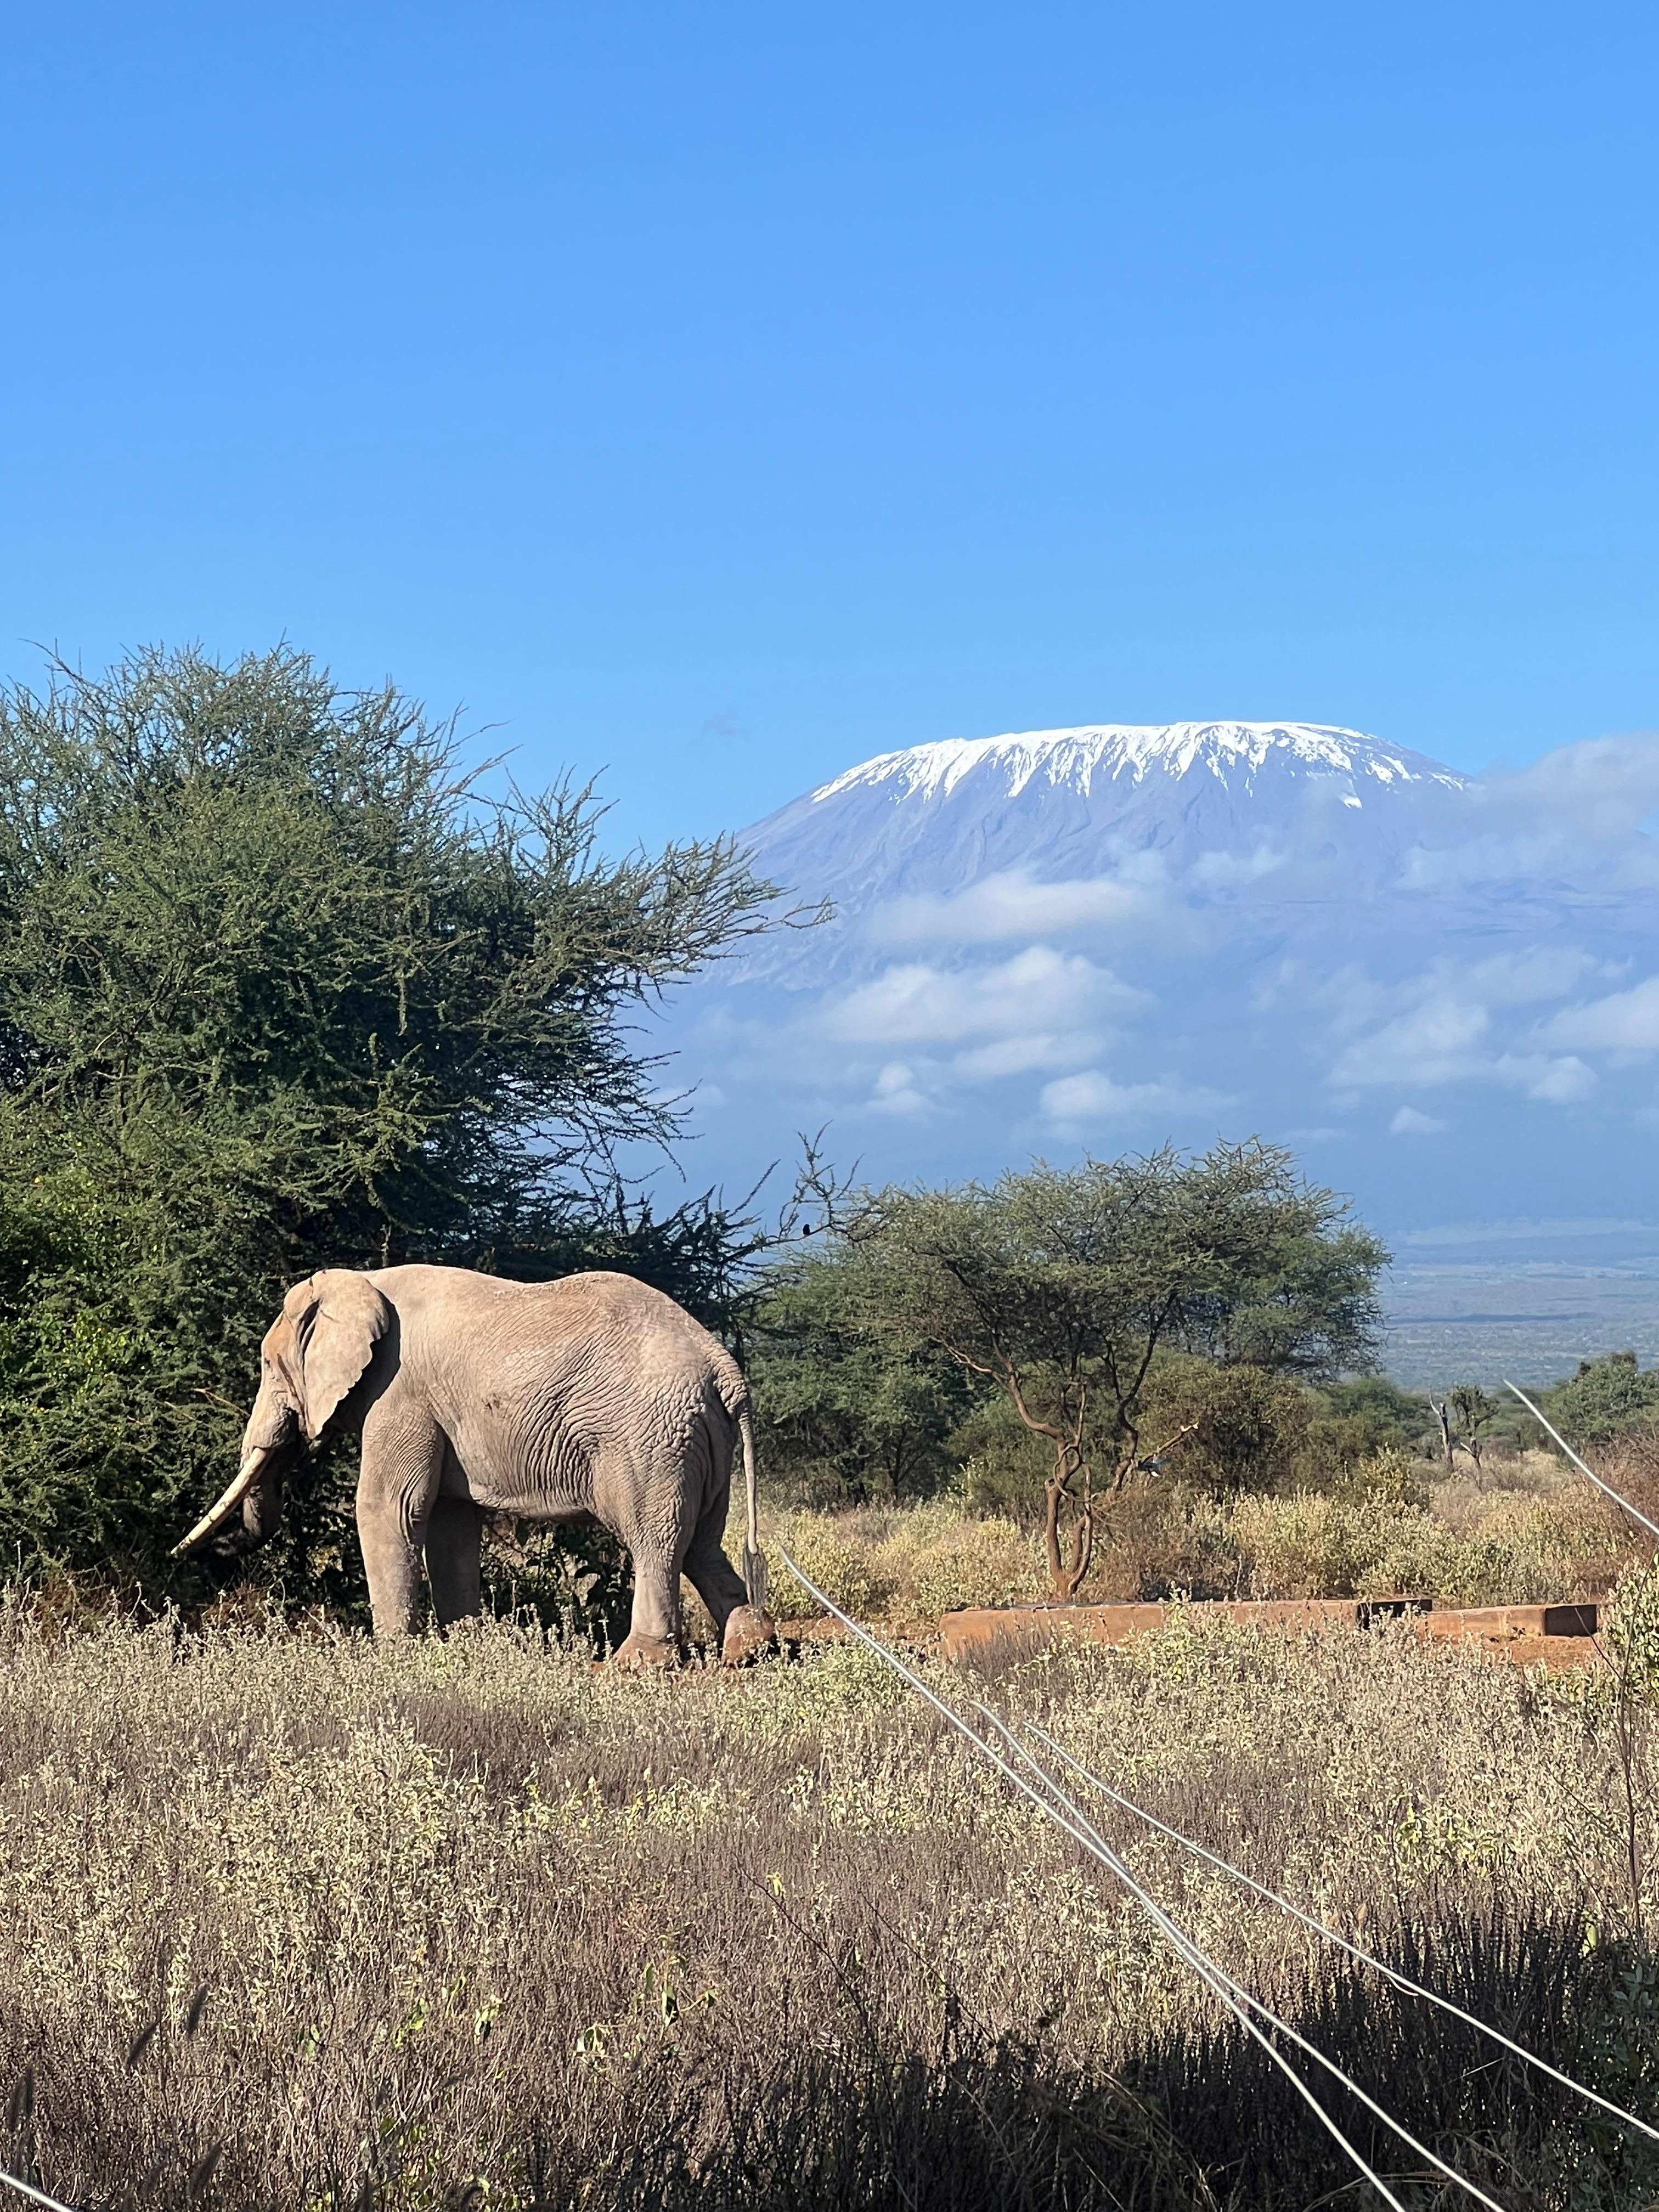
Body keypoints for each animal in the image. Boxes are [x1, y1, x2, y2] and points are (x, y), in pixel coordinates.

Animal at [172, 1265, 775, 1667]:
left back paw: (634, 1667)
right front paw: (466, 1644)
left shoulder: (401, 1393)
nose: (179, 1558)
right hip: (697, 1439)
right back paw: (750, 1651)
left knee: (655, 1538)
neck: (363, 1281)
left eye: (268, 1365)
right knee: (701, 1542)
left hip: (650, 1440)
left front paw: (394, 1655)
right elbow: (449, 1523)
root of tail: (724, 1368)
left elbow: (389, 1508)